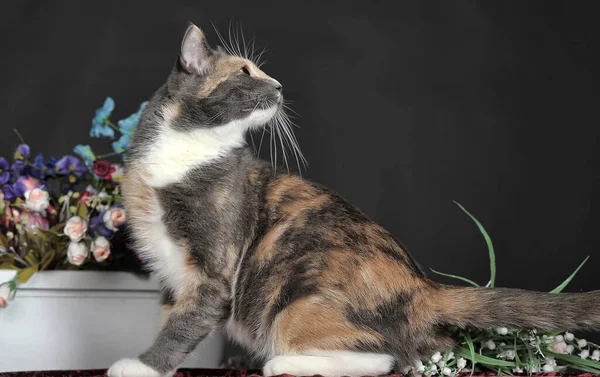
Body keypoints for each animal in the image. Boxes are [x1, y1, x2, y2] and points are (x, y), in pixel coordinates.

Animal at [108, 23, 600, 376]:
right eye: (246, 72)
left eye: (259, 71)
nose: (280, 85)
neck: (189, 146)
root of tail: (422, 288)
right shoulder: (172, 274)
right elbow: (172, 314)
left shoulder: (214, 269)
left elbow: (187, 321)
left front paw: (143, 366)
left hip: (295, 304)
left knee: (384, 357)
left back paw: (282, 363)